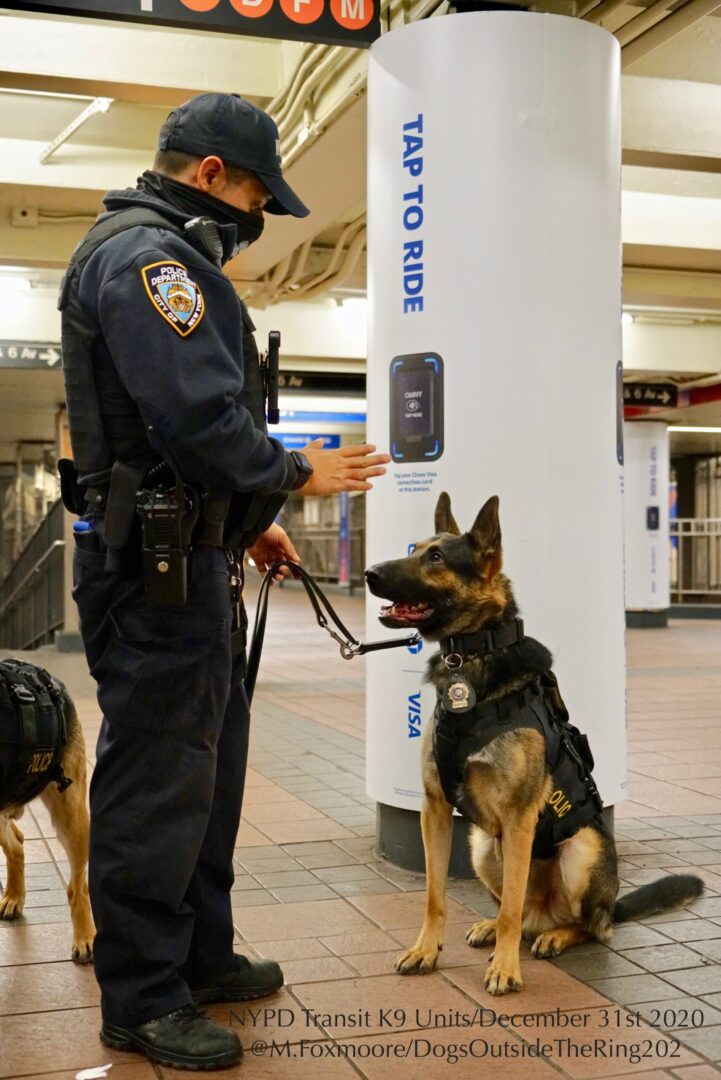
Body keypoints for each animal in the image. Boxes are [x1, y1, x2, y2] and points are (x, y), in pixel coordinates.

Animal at [362, 494, 699, 993]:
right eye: (417, 548)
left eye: (436, 557)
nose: (369, 573)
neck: (472, 658)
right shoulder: (435, 808)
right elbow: (435, 896)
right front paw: (426, 950)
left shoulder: (520, 818)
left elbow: (509, 910)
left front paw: (505, 970)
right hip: (482, 845)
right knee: (519, 911)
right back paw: (501, 928)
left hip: (581, 852)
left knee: (583, 925)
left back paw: (556, 936)